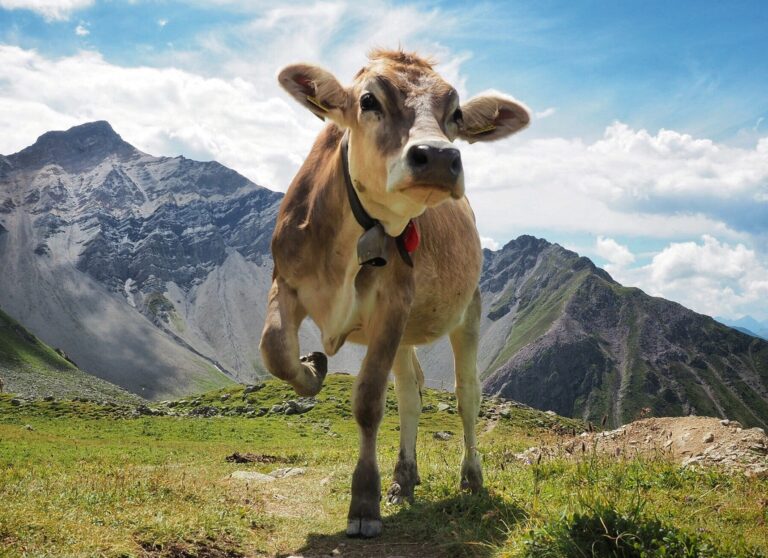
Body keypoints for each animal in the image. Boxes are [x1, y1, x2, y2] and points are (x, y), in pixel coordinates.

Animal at [258, 50, 528, 540]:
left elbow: (368, 402)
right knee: (409, 394)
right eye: (368, 100)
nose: (438, 157)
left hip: (468, 309)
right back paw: (404, 478)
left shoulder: (393, 304)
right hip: (406, 335)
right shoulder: (284, 280)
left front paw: (364, 502)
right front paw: (313, 368)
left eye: (456, 114)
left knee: (467, 395)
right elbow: (275, 351)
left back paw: (471, 478)